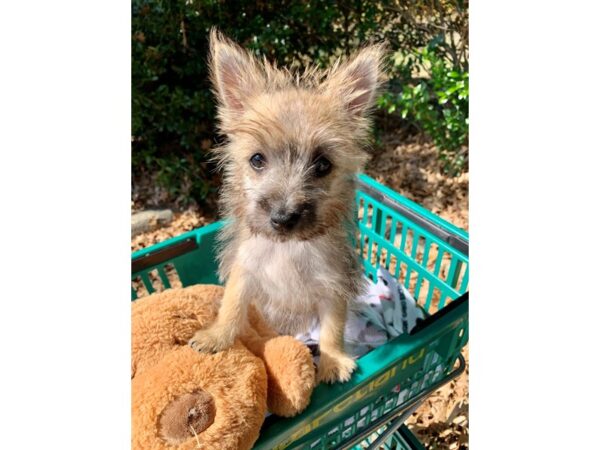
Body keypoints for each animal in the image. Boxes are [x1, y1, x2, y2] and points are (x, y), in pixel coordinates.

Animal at [190, 29, 386, 384]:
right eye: (257, 160)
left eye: (322, 165)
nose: (282, 217)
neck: (288, 248)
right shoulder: (244, 274)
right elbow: (232, 308)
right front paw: (217, 336)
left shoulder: (332, 289)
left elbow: (332, 328)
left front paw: (332, 360)